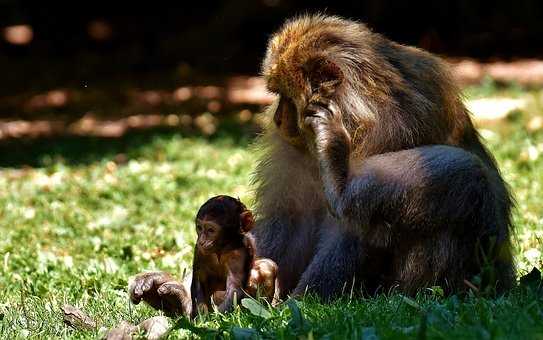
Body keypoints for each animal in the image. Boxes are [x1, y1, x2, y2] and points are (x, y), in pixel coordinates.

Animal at [129, 14, 516, 314]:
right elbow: (291, 218)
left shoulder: (390, 127)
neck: (358, 115)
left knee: (463, 173)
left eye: (285, 95)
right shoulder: (294, 147)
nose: (279, 118)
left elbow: (355, 225)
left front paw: (294, 308)